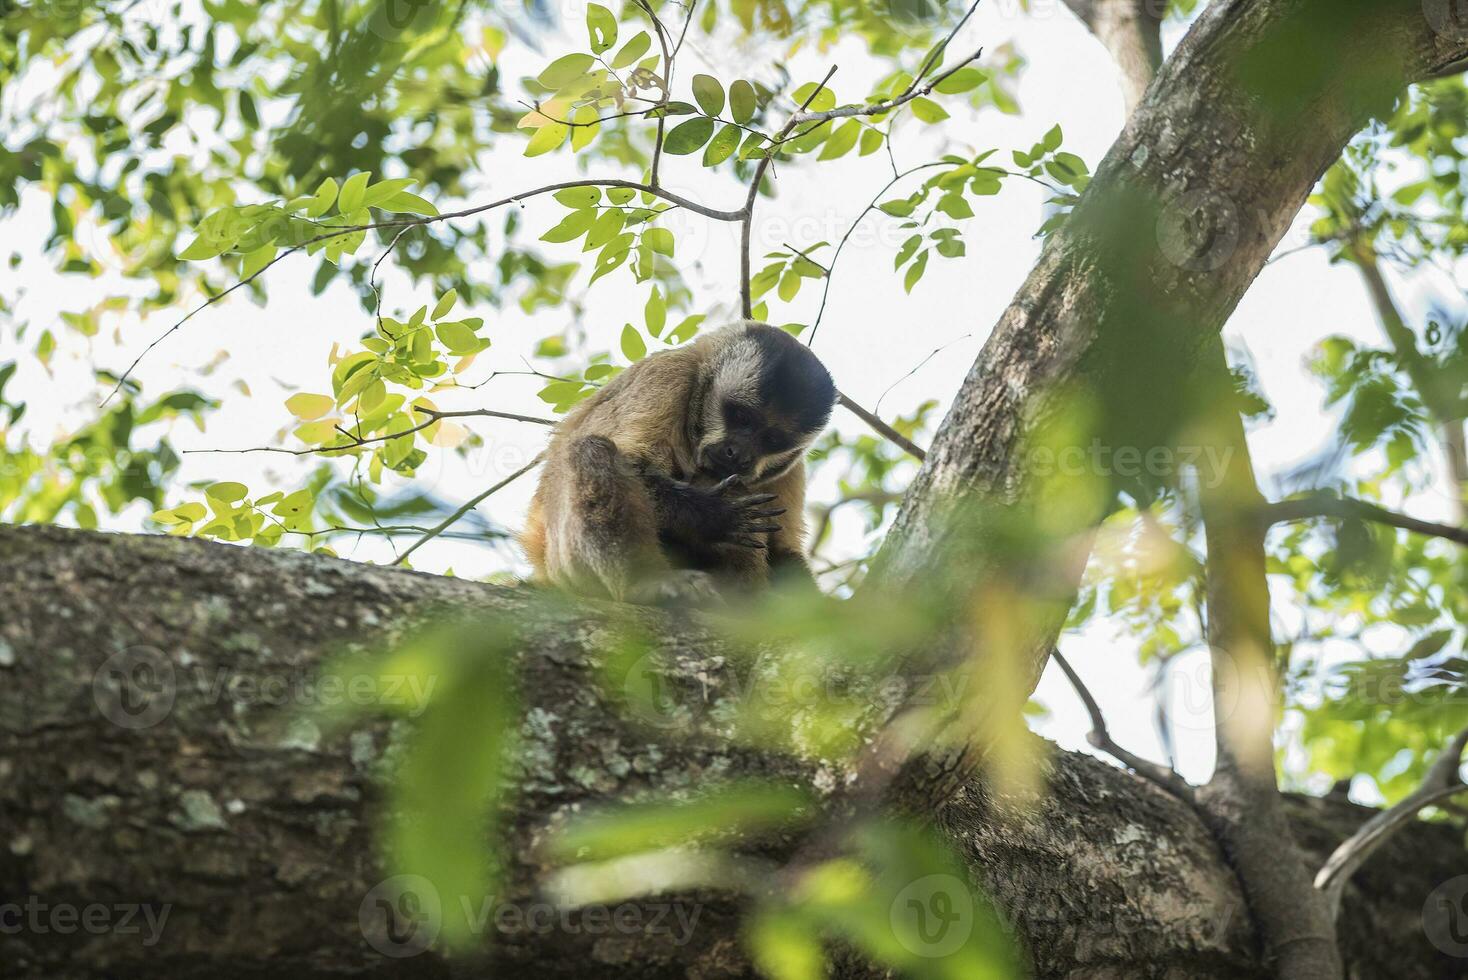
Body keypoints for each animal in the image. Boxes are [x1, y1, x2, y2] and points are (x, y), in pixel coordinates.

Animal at [522, 319, 839, 604]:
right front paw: (714, 515)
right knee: (592, 452)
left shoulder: (792, 466)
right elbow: (632, 461)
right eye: (741, 417)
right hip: (566, 566)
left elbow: (783, 548)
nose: (739, 453)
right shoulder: (669, 374)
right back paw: (644, 581)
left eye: (772, 439)